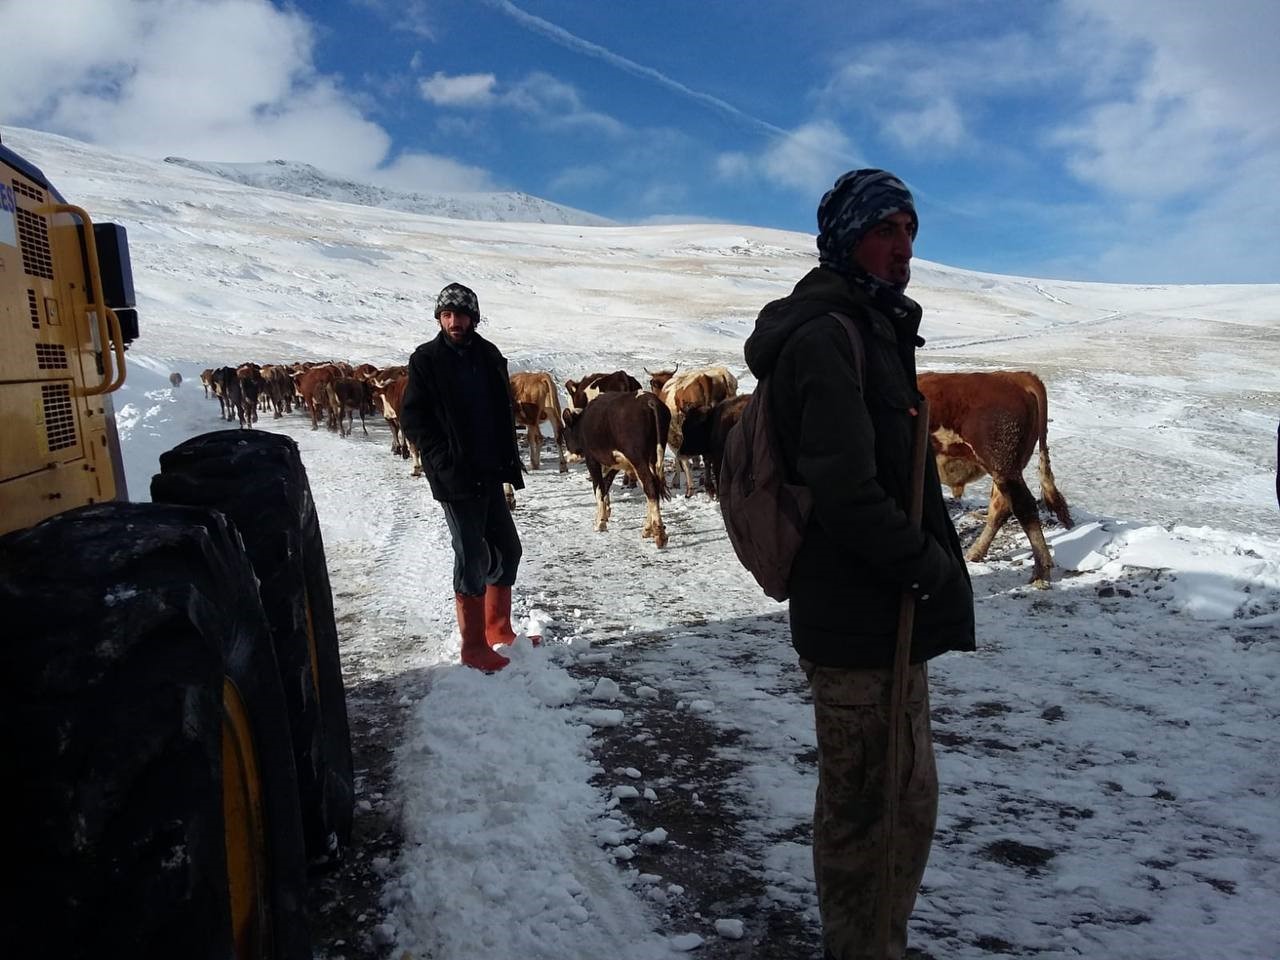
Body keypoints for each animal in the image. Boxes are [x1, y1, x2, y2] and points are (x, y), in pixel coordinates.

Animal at [565, 391, 675, 547]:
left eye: (565, 434)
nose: (566, 456)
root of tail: (649, 399)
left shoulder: (592, 459)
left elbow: (599, 488)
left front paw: (600, 523)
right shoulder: (615, 463)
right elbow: (605, 486)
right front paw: (604, 516)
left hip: (638, 459)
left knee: (650, 486)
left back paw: (659, 535)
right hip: (653, 458)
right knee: (653, 487)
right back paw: (648, 529)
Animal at [921, 371, 1070, 586]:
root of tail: (1014, 376)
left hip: (1003, 465)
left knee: (1024, 507)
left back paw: (1041, 571)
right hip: (1004, 471)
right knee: (1001, 507)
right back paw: (975, 553)